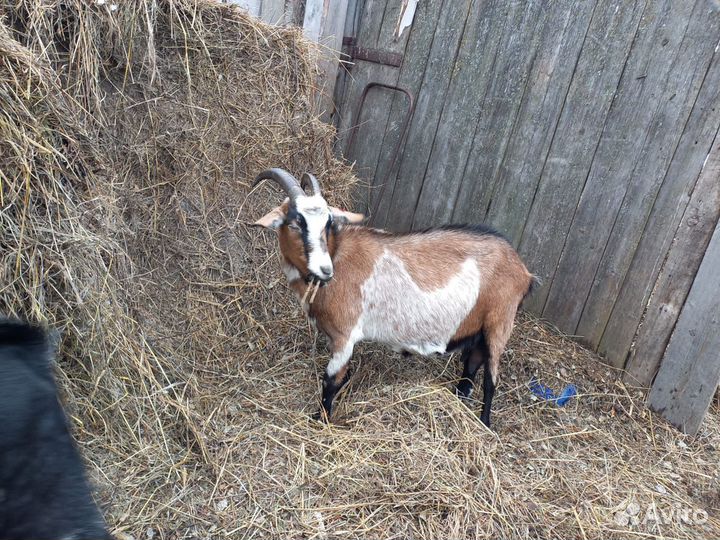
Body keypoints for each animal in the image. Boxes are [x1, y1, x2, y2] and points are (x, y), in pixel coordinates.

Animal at [253, 168, 535, 427]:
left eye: (327, 224)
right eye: (294, 223)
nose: (325, 270)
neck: (337, 255)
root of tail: (523, 270)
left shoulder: (346, 335)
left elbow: (331, 380)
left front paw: (321, 420)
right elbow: (343, 377)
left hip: (500, 322)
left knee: (491, 380)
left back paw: (485, 423)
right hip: (478, 327)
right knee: (472, 364)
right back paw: (460, 399)